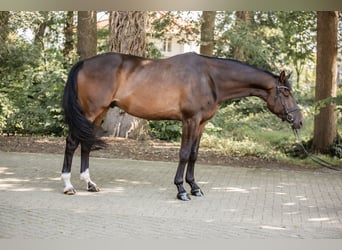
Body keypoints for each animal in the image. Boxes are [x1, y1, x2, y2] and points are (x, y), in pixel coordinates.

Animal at [60, 51, 302, 200]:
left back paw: (89, 184)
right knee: (72, 142)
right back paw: (68, 186)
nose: (299, 121)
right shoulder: (190, 120)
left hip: (98, 113)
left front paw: (195, 187)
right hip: (91, 111)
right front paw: (181, 190)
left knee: (86, 143)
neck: (209, 78)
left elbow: (194, 155)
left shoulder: (201, 123)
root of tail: (84, 63)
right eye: (286, 93)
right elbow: (184, 154)